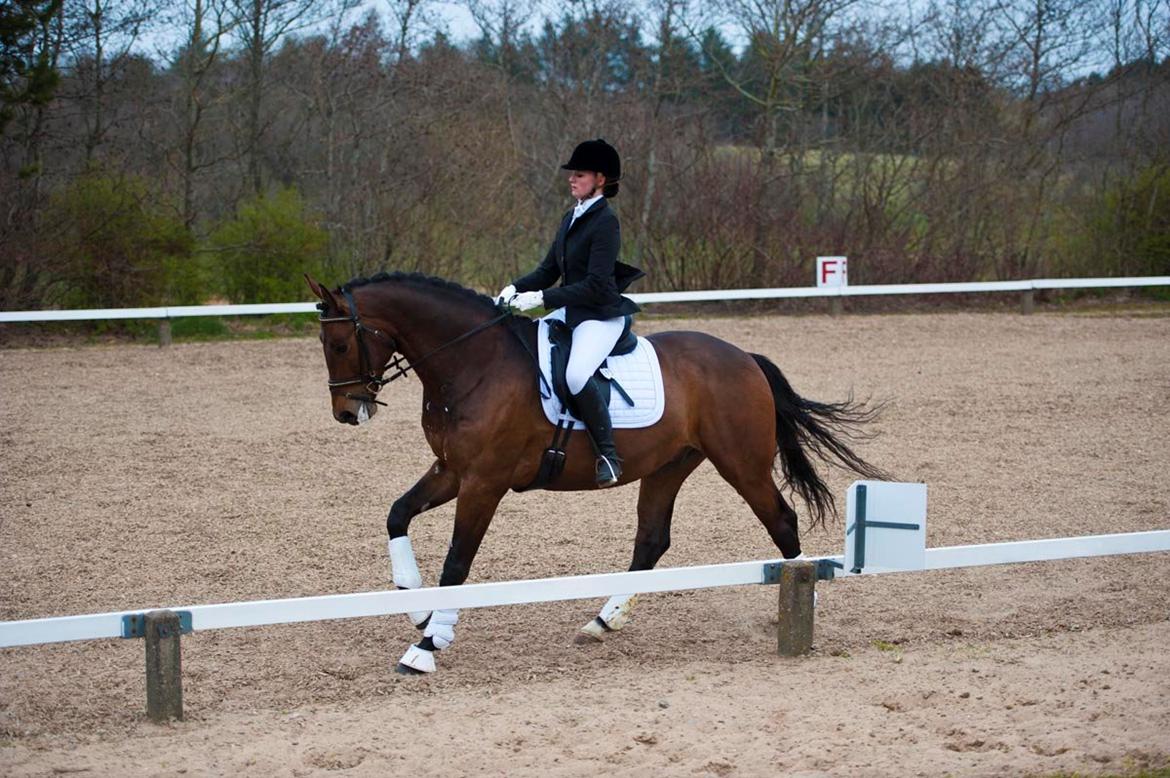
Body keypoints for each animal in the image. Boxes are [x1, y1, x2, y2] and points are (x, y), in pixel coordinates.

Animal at [306, 270, 879, 669]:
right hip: (669, 465)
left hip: (741, 463)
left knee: (780, 520)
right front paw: (417, 605)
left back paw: (802, 596)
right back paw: (604, 620)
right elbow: (397, 514)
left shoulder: (484, 482)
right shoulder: (451, 470)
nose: (347, 412)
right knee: (651, 540)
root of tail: (742, 356)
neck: (473, 363)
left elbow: (457, 562)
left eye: (340, 344)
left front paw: (427, 645)